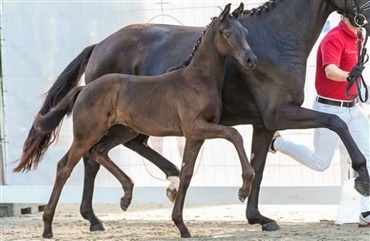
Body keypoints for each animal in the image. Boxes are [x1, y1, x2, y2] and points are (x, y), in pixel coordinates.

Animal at [33, 2, 258, 238]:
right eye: (227, 33)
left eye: (245, 32)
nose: (251, 60)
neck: (196, 80)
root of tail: (84, 88)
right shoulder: (196, 128)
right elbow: (234, 134)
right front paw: (243, 190)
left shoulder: (195, 136)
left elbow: (186, 174)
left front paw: (181, 226)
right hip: (87, 134)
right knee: (66, 167)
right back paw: (49, 227)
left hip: (123, 131)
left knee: (97, 152)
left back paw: (126, 196)